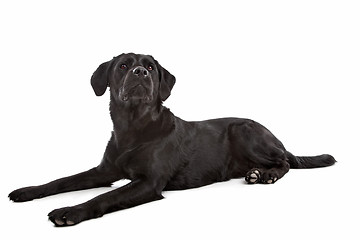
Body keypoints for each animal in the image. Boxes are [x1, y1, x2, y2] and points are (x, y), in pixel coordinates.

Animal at [8, 53, 336, 227]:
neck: (133, 127)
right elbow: (61, 180)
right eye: (123, 65)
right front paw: (27, 191)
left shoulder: (149, 182)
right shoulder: (104, 171)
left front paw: (70, 211)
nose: (141, 72)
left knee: (286, 161)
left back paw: (266, 174)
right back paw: (255, 173)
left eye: (150, 67)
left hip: (244, 131)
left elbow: (104, 197)